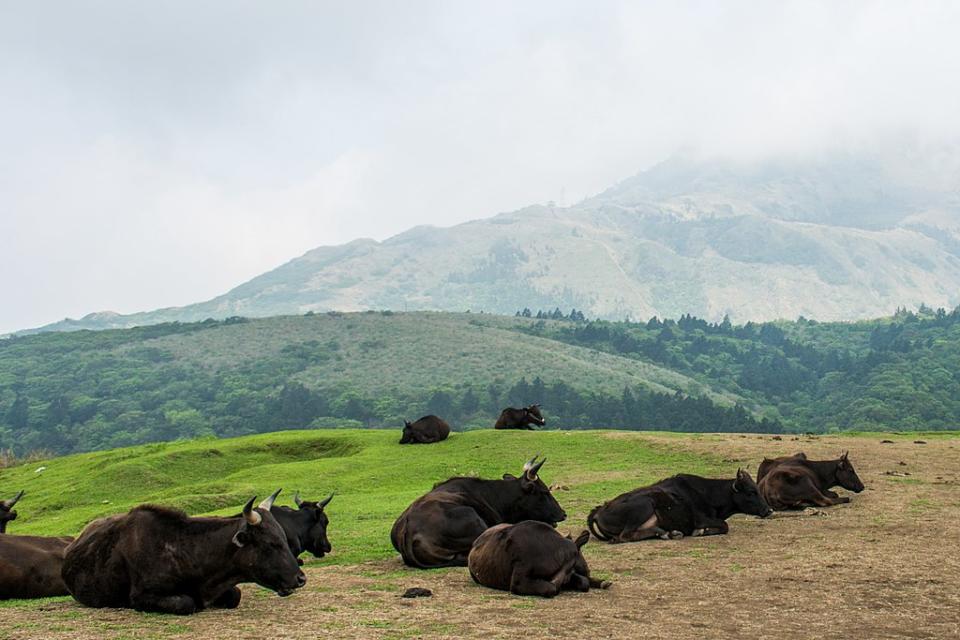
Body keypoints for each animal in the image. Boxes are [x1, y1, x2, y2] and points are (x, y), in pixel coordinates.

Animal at [61, 492, 304, 612]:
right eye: (271, 543)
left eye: (284, 539)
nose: (300, 578)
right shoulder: (142, 596)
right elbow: (187, 603)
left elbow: (236, 595)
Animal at [584, 468, 772, 544]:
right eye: (751, 492)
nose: (768, 510)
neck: (707, 493)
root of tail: (599, 510)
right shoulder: (700, 519)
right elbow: (724, 525)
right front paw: (701, 532)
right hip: (643, 506)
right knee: (625, 536)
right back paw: (666, 533)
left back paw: (669, 533)